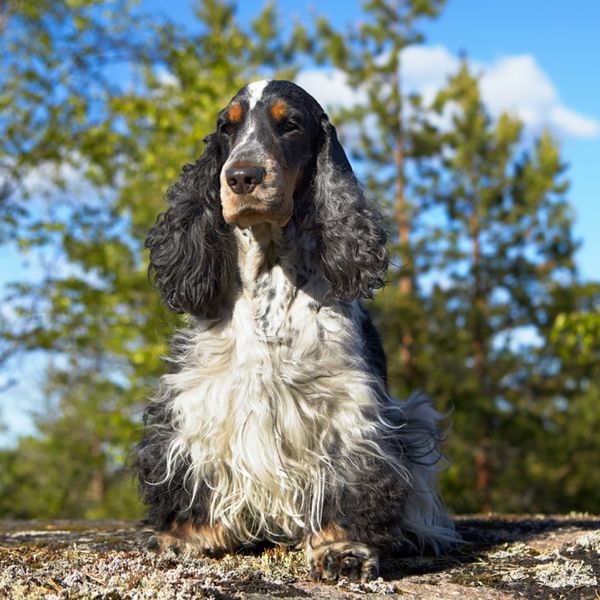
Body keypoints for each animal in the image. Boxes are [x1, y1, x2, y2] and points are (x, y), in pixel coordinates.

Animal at [135, 77, 454, 580]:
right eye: (226, 128)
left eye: (290, 125)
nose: (241, 176)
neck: (271, 275)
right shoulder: (199, 398)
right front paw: (183, 535)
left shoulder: (350, 408)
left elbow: (351, 479)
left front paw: (343, 548)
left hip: (415, 418)